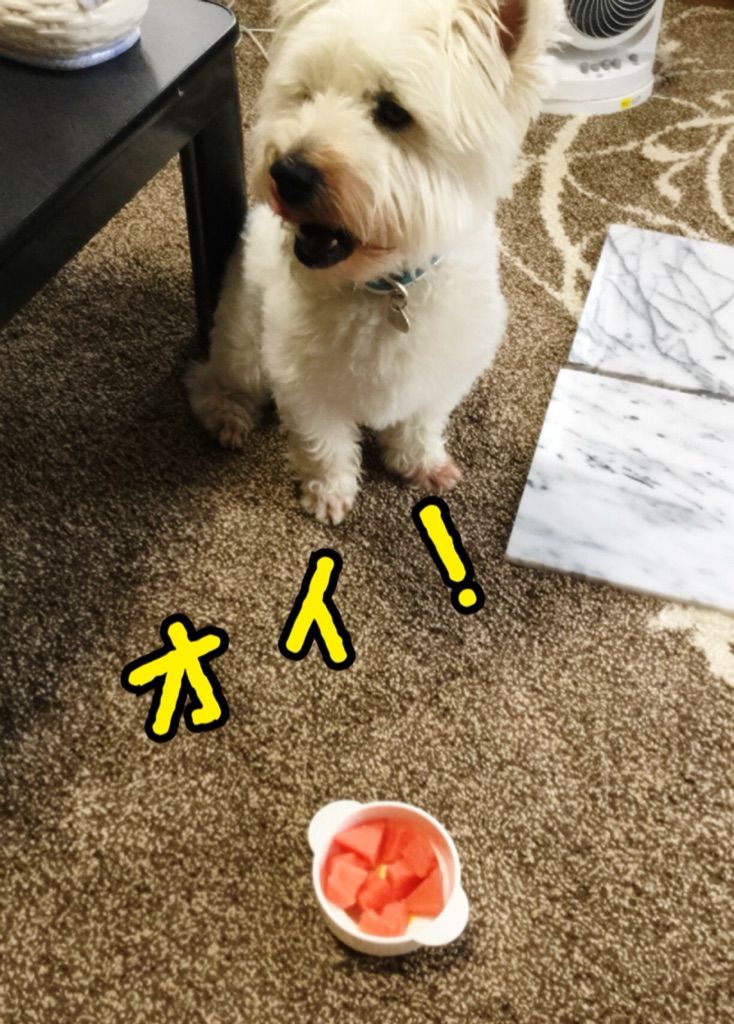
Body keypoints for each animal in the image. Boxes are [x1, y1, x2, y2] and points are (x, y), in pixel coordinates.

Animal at [187, 0, 559, 524]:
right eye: (306, 95)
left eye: (393, 112)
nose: (287, 173)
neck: (386, 286)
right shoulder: (302, 380)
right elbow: (324, 442)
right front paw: (329, 492)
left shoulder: (441, 375)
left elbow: (420, 425)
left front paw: (420, 463)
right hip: (244, 346)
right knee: (207, 378)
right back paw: (227, 415)